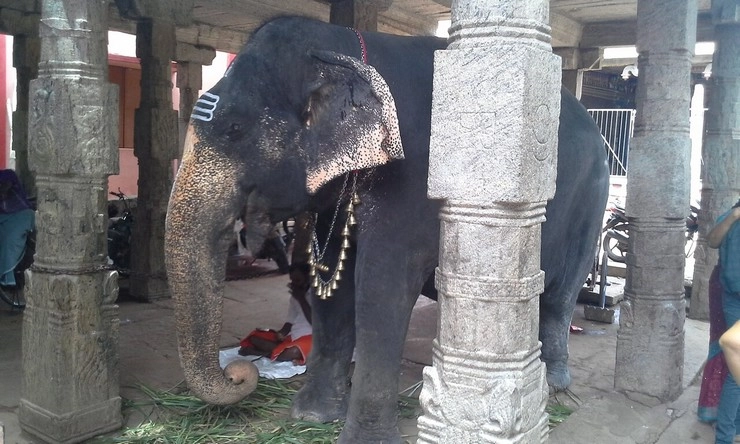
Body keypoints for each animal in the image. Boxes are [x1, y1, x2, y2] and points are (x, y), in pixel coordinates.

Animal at [165, 15, 608, 444]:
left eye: (234, 129)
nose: (239, 373)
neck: (342, 47)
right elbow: (333, 280)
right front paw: (311, 417)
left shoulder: (413, 178)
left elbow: (381, 283)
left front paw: (363, 438)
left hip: (594, 196)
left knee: (561, 294)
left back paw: (554, 387)